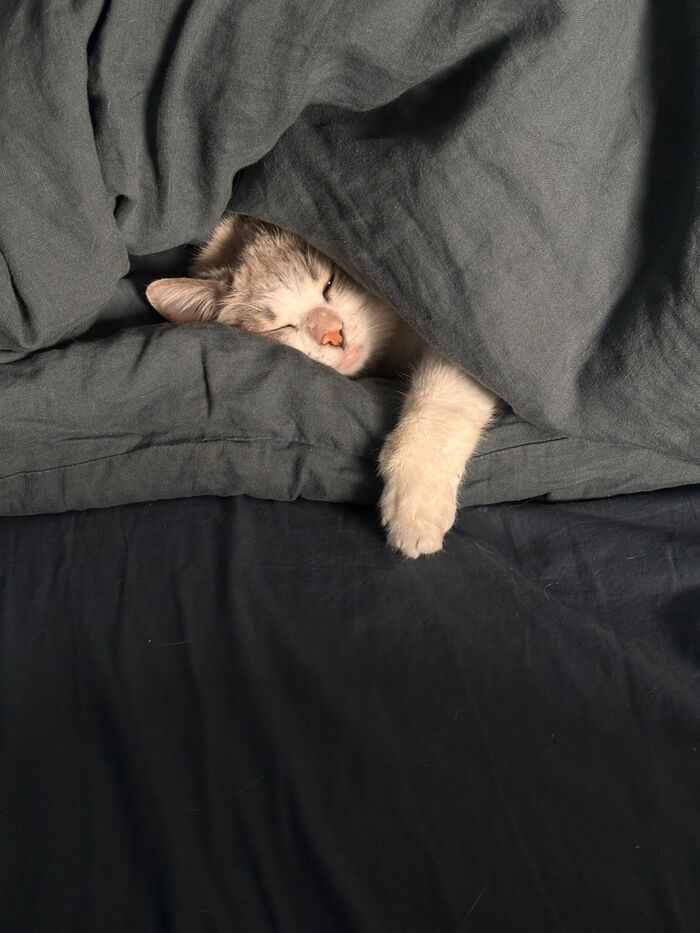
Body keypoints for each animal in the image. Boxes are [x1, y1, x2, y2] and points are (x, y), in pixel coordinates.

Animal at [146, 214, 498, 557]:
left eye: (329, 282)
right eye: (278, 326)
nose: (333, 334)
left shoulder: (454, 339)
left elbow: (447, 394)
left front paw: (417, 499)